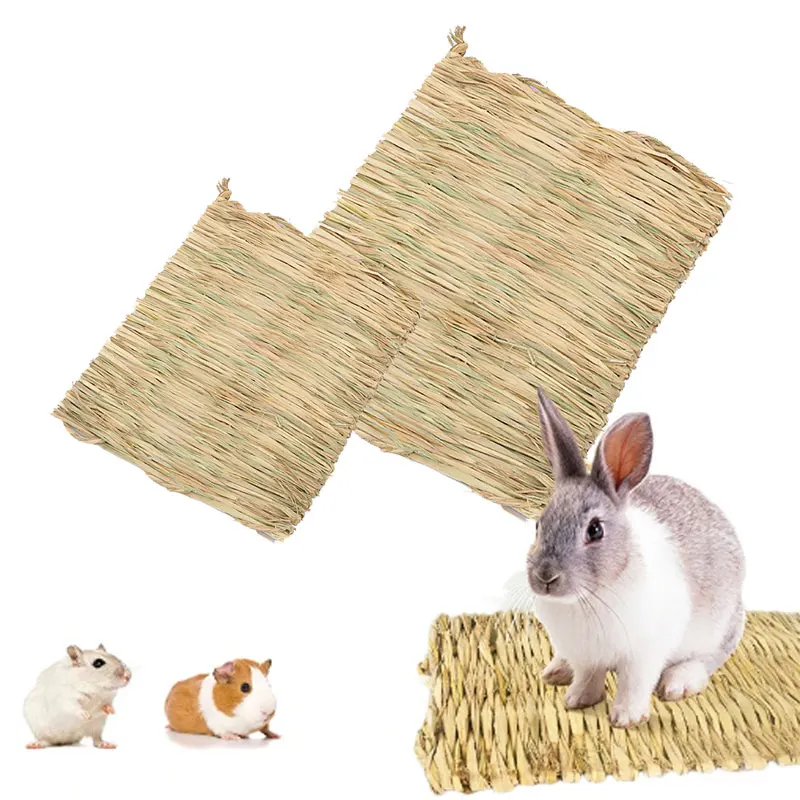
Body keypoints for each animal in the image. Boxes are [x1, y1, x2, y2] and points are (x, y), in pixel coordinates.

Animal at [527, 388, 745, 728]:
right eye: (539, 525)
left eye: (595, 530)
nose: (545, 577)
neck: (590, 598)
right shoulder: (587, 655)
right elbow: (588, 676)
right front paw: (577, 700)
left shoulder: (644, 653)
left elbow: (634, 683)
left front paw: (626, 718)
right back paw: (556, 671)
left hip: (719, 629)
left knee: (707, 659)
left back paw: (678, 683)